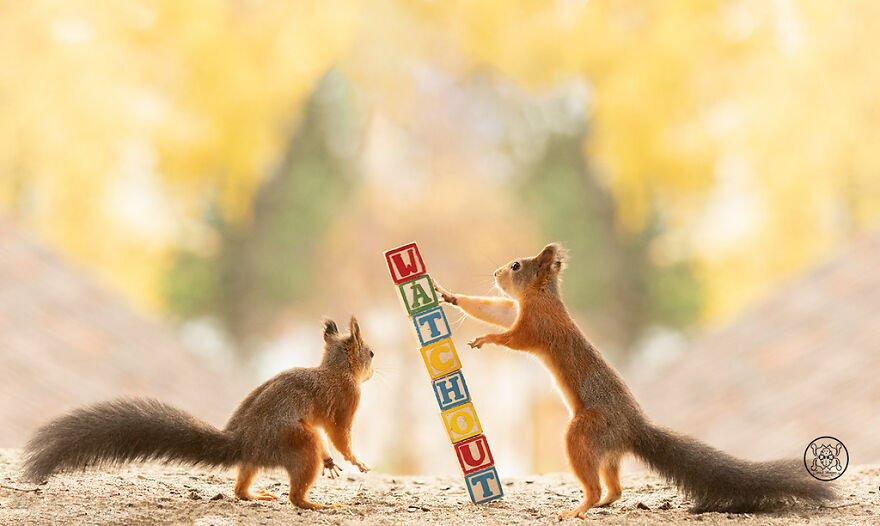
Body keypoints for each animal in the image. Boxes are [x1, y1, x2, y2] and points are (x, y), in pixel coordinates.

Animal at [23, 317, 373, 510]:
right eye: (369, 352)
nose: (373, 363)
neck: (335, 370)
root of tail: (243, 442)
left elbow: (329, 437)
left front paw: (333, 462)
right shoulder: (347, 402)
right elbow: (339, 435)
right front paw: (355, 460)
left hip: (265, 455)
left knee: (240, 488)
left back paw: (255, 495)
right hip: (297, 443)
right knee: (296, 490)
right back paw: (314, 503)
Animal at [435, 244, 835, 518]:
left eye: (517, 266)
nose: (495, 272)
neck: (542, 297)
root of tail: (632, 429)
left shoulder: (535, 326)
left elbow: (511, 336)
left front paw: (485, 339)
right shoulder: (515, 311)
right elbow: (493, 310)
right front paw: (450, 295)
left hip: (584, 430)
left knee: (594, 483)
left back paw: (580, 508)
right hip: (608, 452)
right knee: (615, 487)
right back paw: (604, 503)